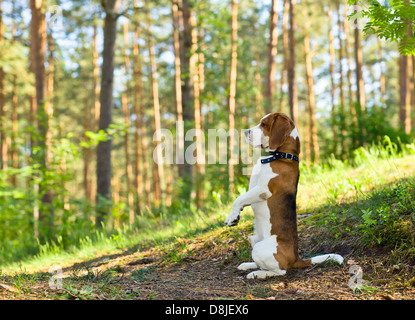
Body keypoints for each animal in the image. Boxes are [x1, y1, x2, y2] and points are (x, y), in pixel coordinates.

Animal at [226, 114, 342, 278]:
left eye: (263, 124)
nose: (245, 132)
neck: (282, 156)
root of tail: (296, 258)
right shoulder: (253, 189)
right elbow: (243, 199)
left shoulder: (262, 190)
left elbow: (238, 199)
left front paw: (232, 217)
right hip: (253, 239)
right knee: (263, 264)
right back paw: (249, 265)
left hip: (260, 249)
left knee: (280, 271)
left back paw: (256, 274)